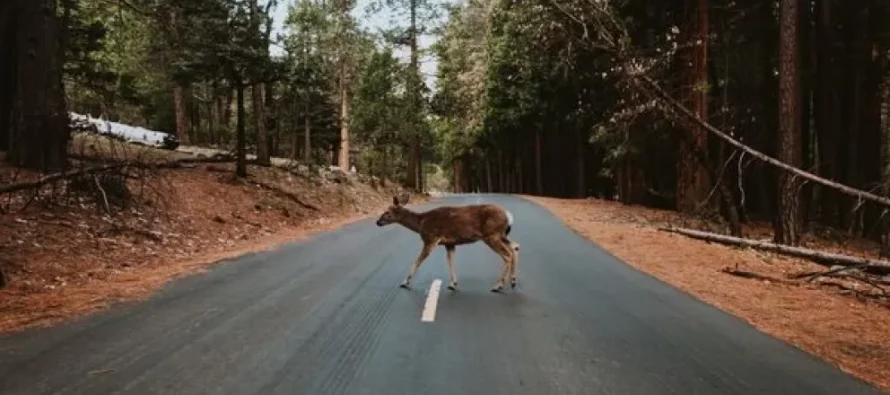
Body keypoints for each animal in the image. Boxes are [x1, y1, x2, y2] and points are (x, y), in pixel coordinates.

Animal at [374, 195, 520, 294]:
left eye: (387, 212)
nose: (378, 222)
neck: (421, 223)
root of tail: (509, 215)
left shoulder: (431, 238)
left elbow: (418, 260)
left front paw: (404, 282)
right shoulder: (450, 243)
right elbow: (450, 261)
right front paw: (453, 283)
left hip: (492, 235)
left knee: (508, 254)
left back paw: (498, 286)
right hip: (501, 235)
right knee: (515, 247)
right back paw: (512, 282)